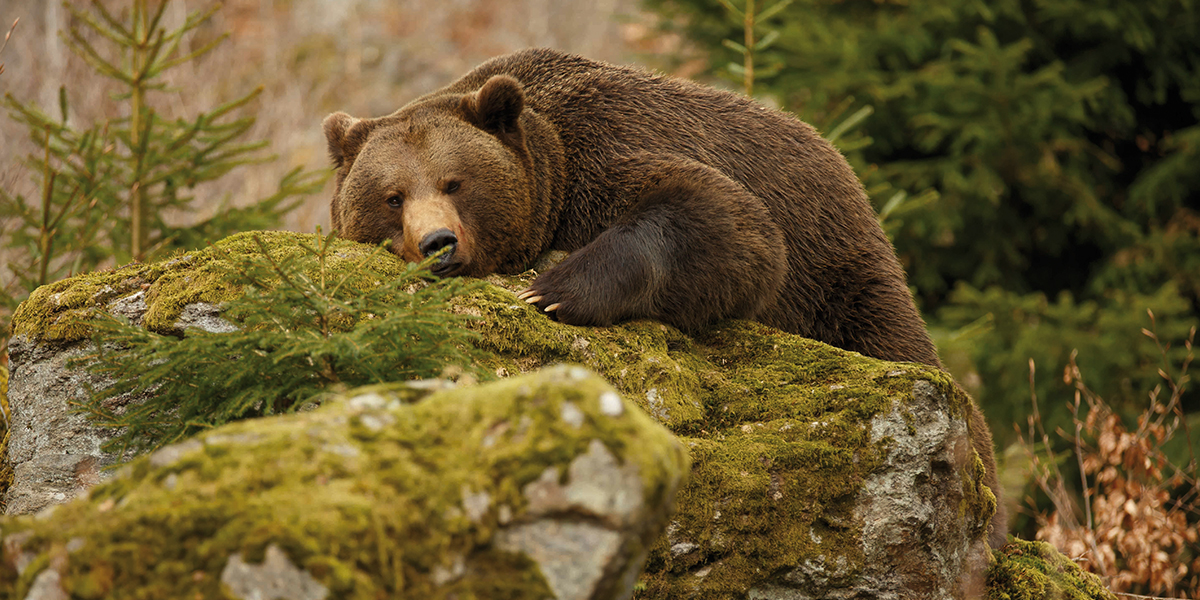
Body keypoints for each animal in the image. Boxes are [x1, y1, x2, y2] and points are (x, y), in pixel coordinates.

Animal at [324, 45, 1008, 544]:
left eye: (455, 182)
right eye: (392, 196)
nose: (438, 244)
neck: (550, 175)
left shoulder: (608, 151)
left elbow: (727, 222)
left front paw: (551, 290)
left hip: (838, 272)